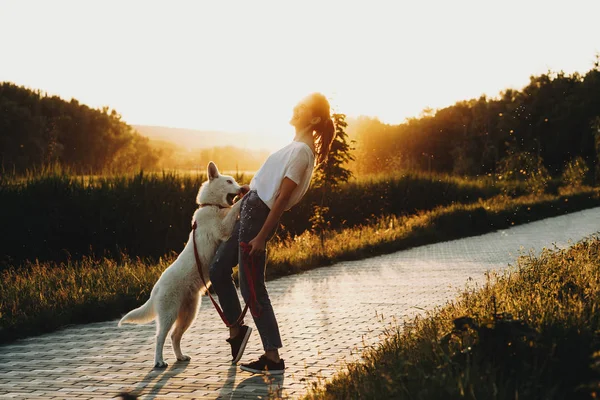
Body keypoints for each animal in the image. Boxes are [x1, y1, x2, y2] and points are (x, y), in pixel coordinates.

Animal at [118, 161, 245, 368]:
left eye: (234, 181)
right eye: (229, 181)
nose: (242, 188)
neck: (212, 206)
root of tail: (155, 289)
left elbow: (234, 211)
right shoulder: (222, 229)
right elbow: (235, 209)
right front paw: (247, 197)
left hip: (189, 313)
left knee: (174, 336)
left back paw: (180, 356)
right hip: (169, 314)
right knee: (160, 337)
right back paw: (159, 361)